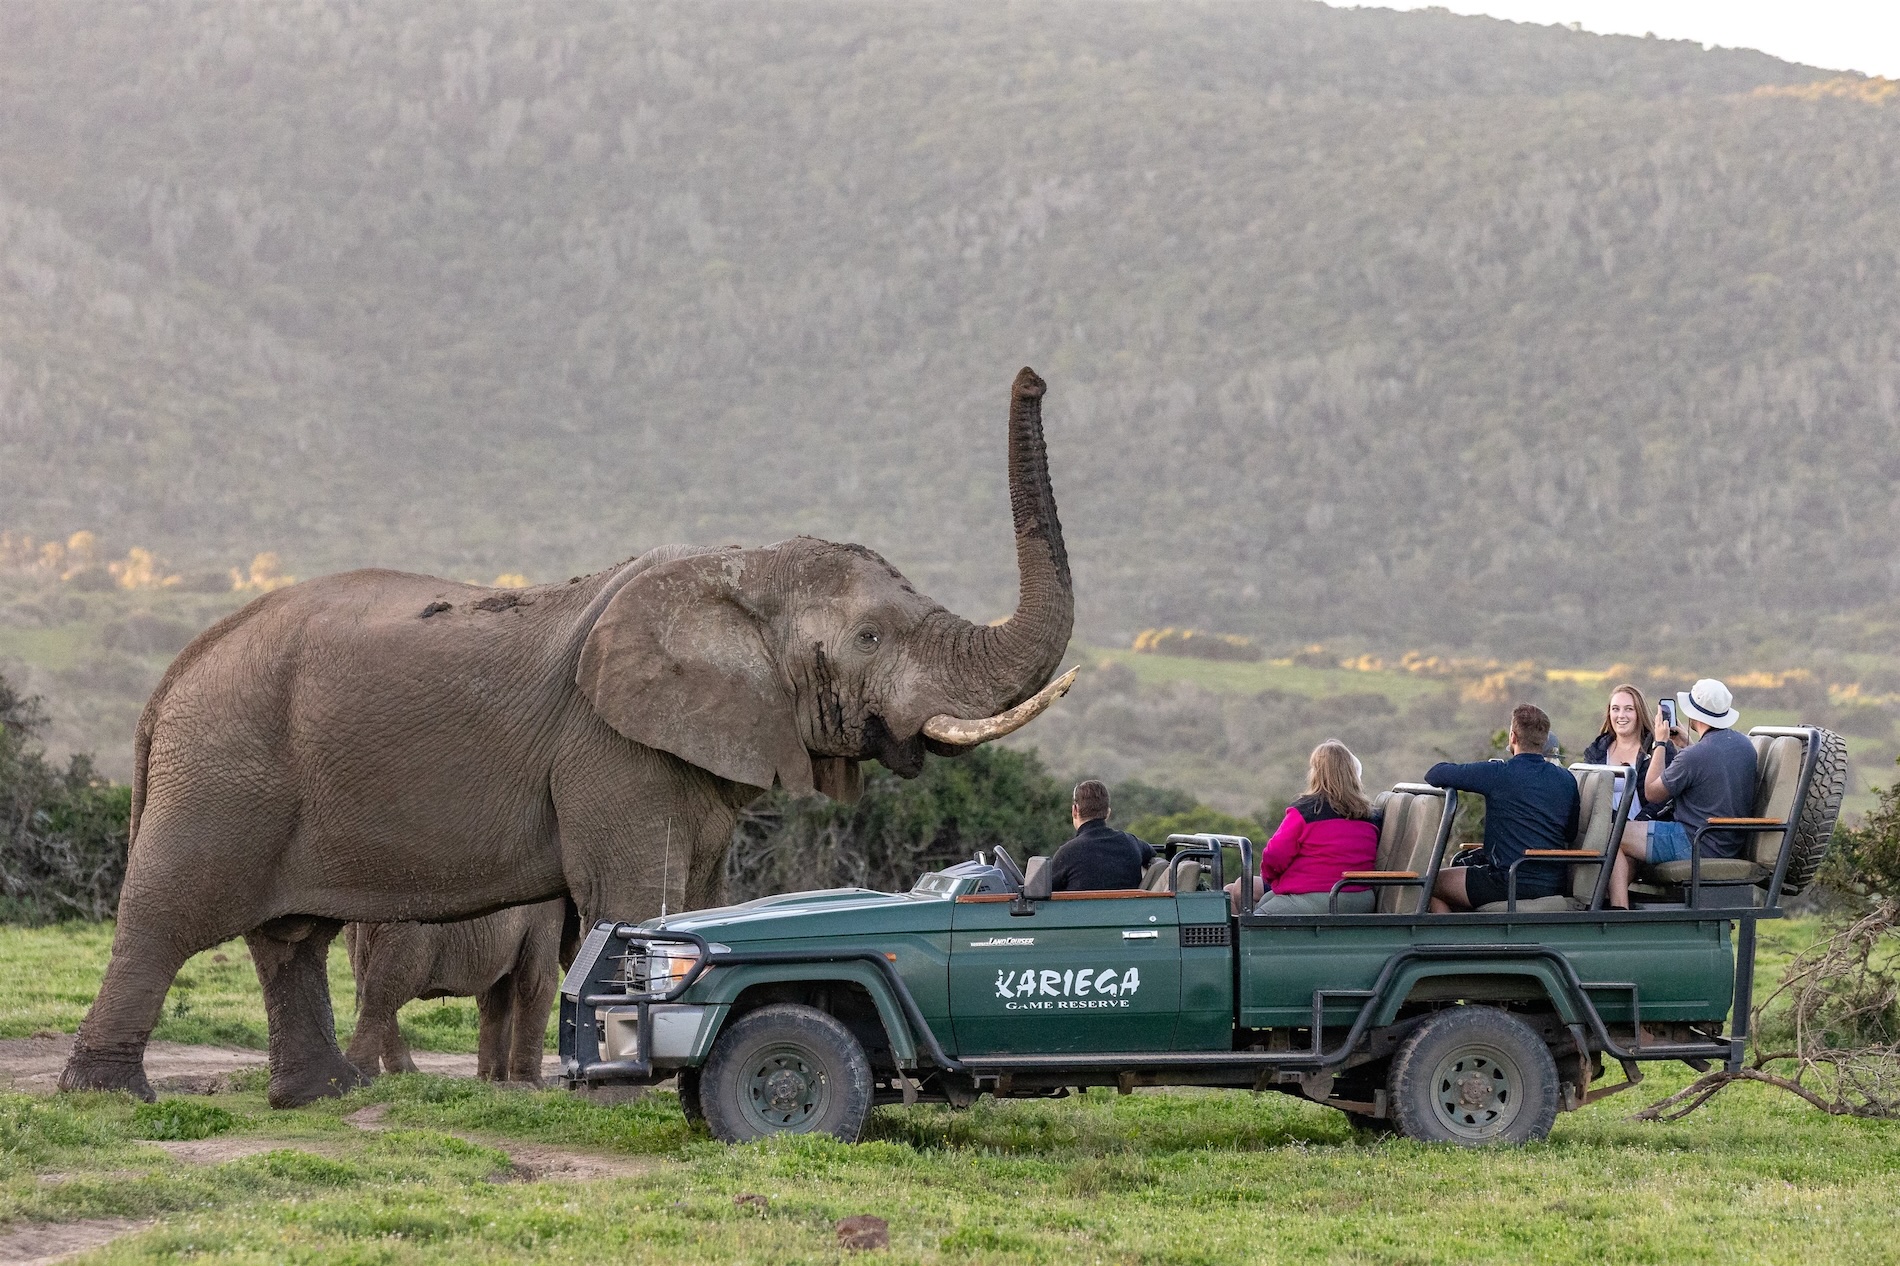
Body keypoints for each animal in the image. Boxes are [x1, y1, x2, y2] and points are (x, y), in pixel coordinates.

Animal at [344, 898, 569, 1083]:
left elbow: (496, 993)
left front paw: (491, 1082)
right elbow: (538, 982)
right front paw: (531, 1087)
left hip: (356, 933)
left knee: (376, 992)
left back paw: (404, 1074)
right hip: (405, 932)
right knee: (383, 994)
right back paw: (367, 1076)